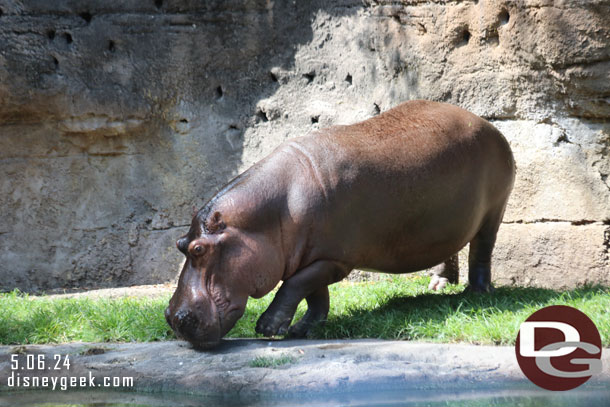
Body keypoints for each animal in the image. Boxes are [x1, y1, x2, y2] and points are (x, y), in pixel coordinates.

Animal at [165, 100, 512, 350]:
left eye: (199, 249)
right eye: (181, 244)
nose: (171, 317)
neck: (269, 215)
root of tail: (486, 123)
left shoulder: (334, 259)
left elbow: (296, 285)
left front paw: (269, 328)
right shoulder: (311, 257)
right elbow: (312, 292)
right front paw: (304, 329)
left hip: (493, 211)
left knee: (482, 250)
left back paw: (478, 292)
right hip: (446, 221)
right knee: (450, 247)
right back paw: (438, 284)